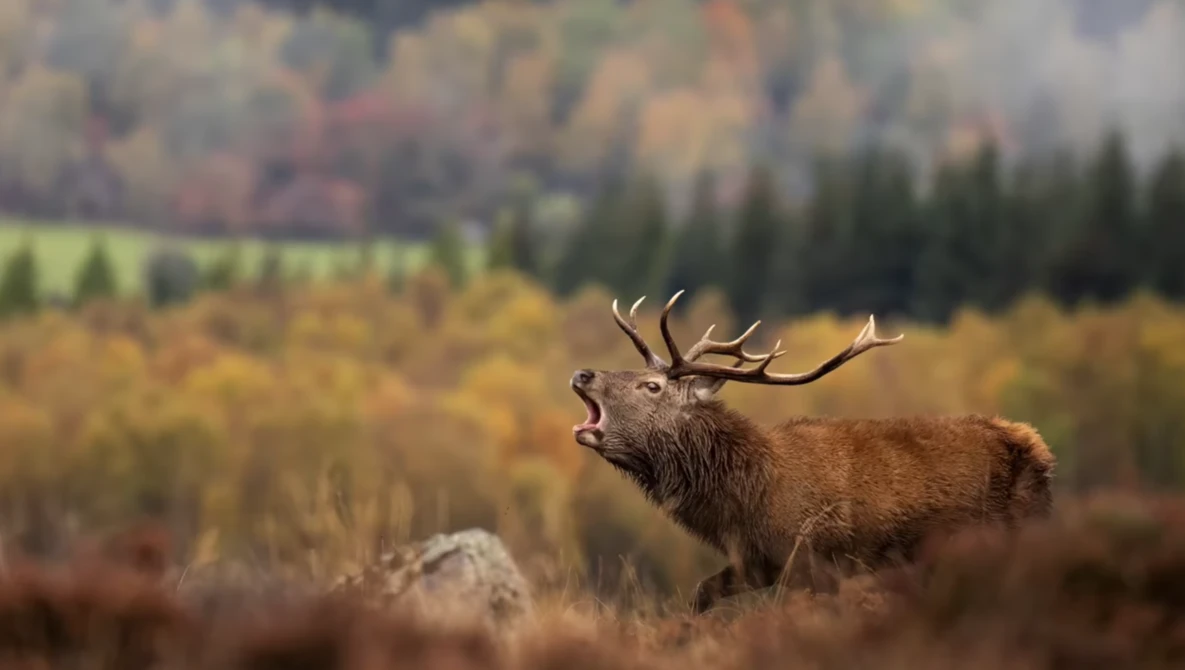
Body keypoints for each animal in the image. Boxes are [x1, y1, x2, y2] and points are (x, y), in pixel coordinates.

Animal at [570, 291, 1056, 614]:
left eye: (651, 386)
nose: (582, 373)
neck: (746, 499)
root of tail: (1039, 448)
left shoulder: (817, 560)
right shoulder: (757, 563)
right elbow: (700, 595)